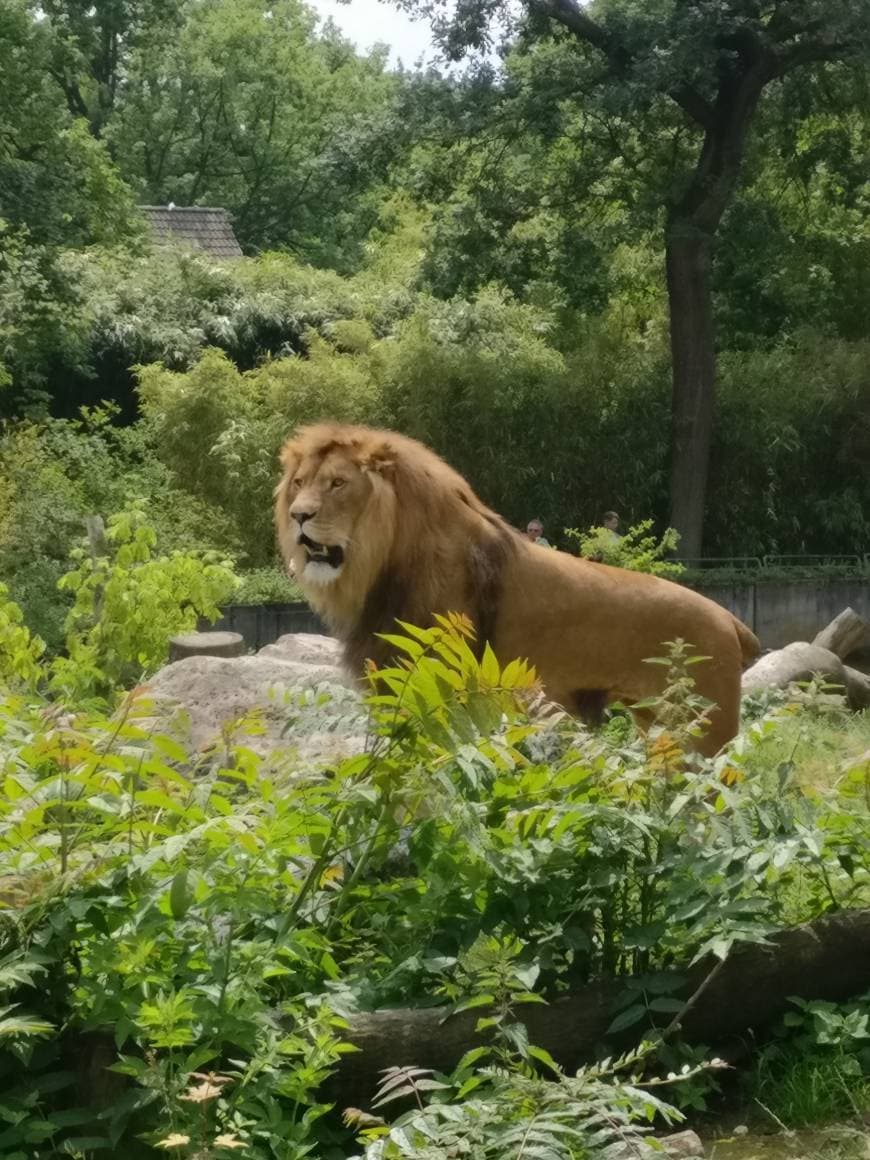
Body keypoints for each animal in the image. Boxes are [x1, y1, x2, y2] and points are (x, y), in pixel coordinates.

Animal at [276, 422, 760, 756]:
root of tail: (731, 618)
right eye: (299, 484)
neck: (380, 567)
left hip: (703, 730)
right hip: (657, 723)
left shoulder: (437, 687)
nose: (299, 515)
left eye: (338, 483)